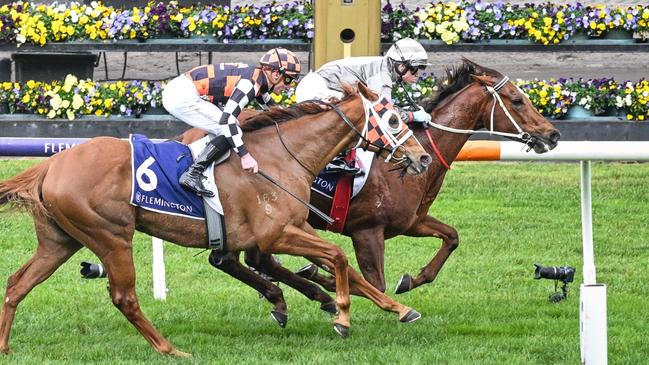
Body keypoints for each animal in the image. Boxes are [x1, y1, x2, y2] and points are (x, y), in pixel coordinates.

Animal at [0, 83, 430, 356]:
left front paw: (397, 308)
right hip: (111, 236)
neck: (282, 156)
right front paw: (341, 315)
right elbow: (339, 258)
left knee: (18, 283)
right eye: (393, 120)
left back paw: (5, 344)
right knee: (124, 296)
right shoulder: (276, 234)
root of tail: (52, 164)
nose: (423, 157)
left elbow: (346, 267)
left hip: (60, 240)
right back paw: (169, 349)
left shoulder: (296, 226)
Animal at [180, 57, 560, 316]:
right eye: (516, 100)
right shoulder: (367, 230)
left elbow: (451, 237)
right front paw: (329, 282)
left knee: (236, 258)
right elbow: (373, 282)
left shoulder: (410, 222)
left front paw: (411, 280)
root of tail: (188, 137)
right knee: (240, 257)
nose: (552, 135)